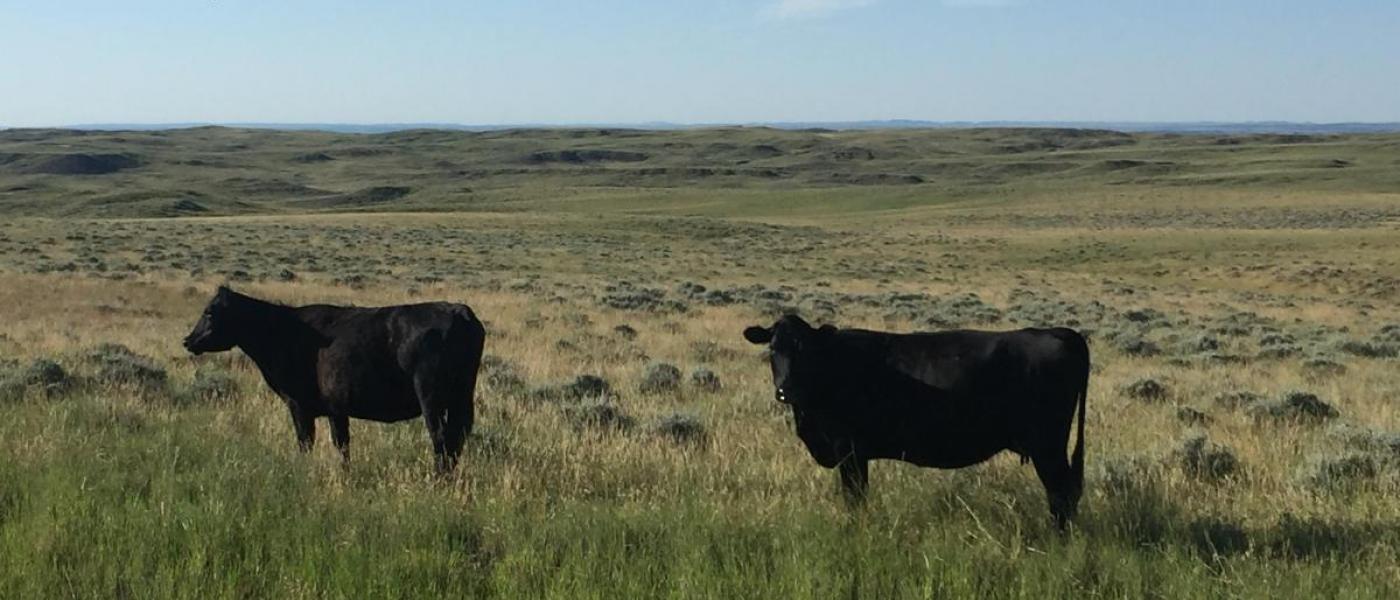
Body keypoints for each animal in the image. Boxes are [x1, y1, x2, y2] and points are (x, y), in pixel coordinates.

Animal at [183, 286, 487, 472]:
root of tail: (459, 311)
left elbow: (306, 442)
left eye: (209, 312)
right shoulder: (336, 410)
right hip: (461, 396)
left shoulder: (299, 406)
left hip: (430, 396)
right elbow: (342, 445)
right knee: (457, 436)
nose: (188, 340)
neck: (283, 332)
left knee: (440, 437)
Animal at [744, 313, 1092, 523]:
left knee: (1061, 494)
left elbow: (855, 497)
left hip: (1047, 445)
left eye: (804, 350)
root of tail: (1060, 332)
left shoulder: (849, 451)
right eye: (772, 349)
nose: (785, 390)